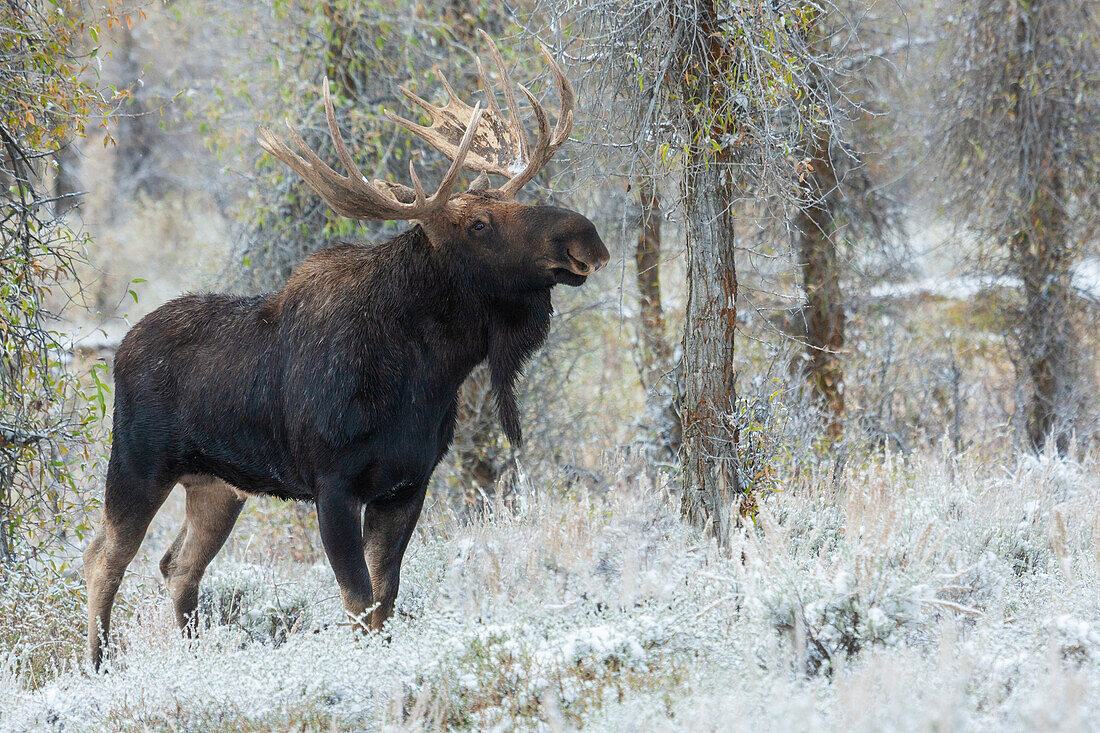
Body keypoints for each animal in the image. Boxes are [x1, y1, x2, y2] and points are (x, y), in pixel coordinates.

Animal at [84, 32, 611, 669]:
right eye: (480, 223)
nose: (586, 236)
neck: (426, 374)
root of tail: (119, 352)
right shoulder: (333, 486)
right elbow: (360, 603)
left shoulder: (407, 483)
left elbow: (386, 598)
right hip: (137, 465)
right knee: (104, 558)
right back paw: (97, 665)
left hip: (216, 487)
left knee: (178, 566)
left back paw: (190, 655)